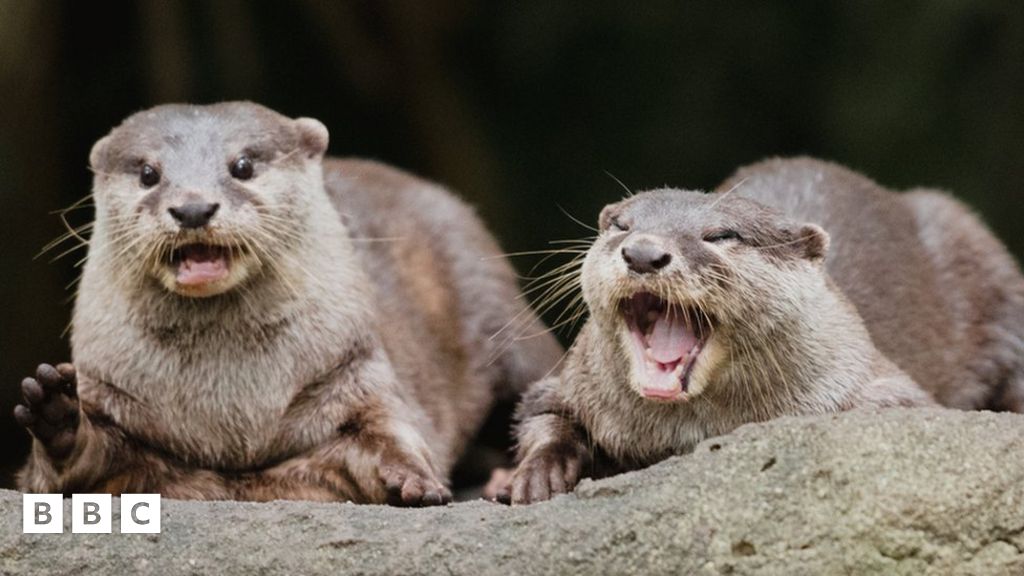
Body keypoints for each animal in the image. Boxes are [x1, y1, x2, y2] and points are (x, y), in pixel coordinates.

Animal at [14, 101, 561, 502]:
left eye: (242, 165)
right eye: (149, 173)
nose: (193, 207)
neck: (231, 412)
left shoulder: (356, 370)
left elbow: (391, 429)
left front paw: (412, 477)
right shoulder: (113, 396)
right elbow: (79, 465)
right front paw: (58, 416)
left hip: (501, 316)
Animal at [497, 157, 1024, 502]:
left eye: (720, 235)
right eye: (621, 226)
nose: (643, 252)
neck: (688, 434)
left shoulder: (879, 382)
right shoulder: (570, 381)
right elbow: (543, 413)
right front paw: (536, 474)